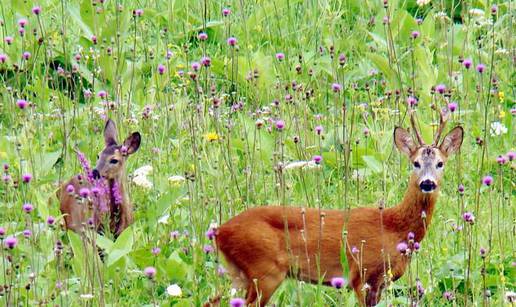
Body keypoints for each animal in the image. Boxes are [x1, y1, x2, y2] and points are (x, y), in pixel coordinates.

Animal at [214, 107, 464, 306]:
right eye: (416, 163)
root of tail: (220, 231)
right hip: (264, 272)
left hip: (240, 276)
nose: (427, 183)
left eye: (440, 163)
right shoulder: (362, 275)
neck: (394, 227)